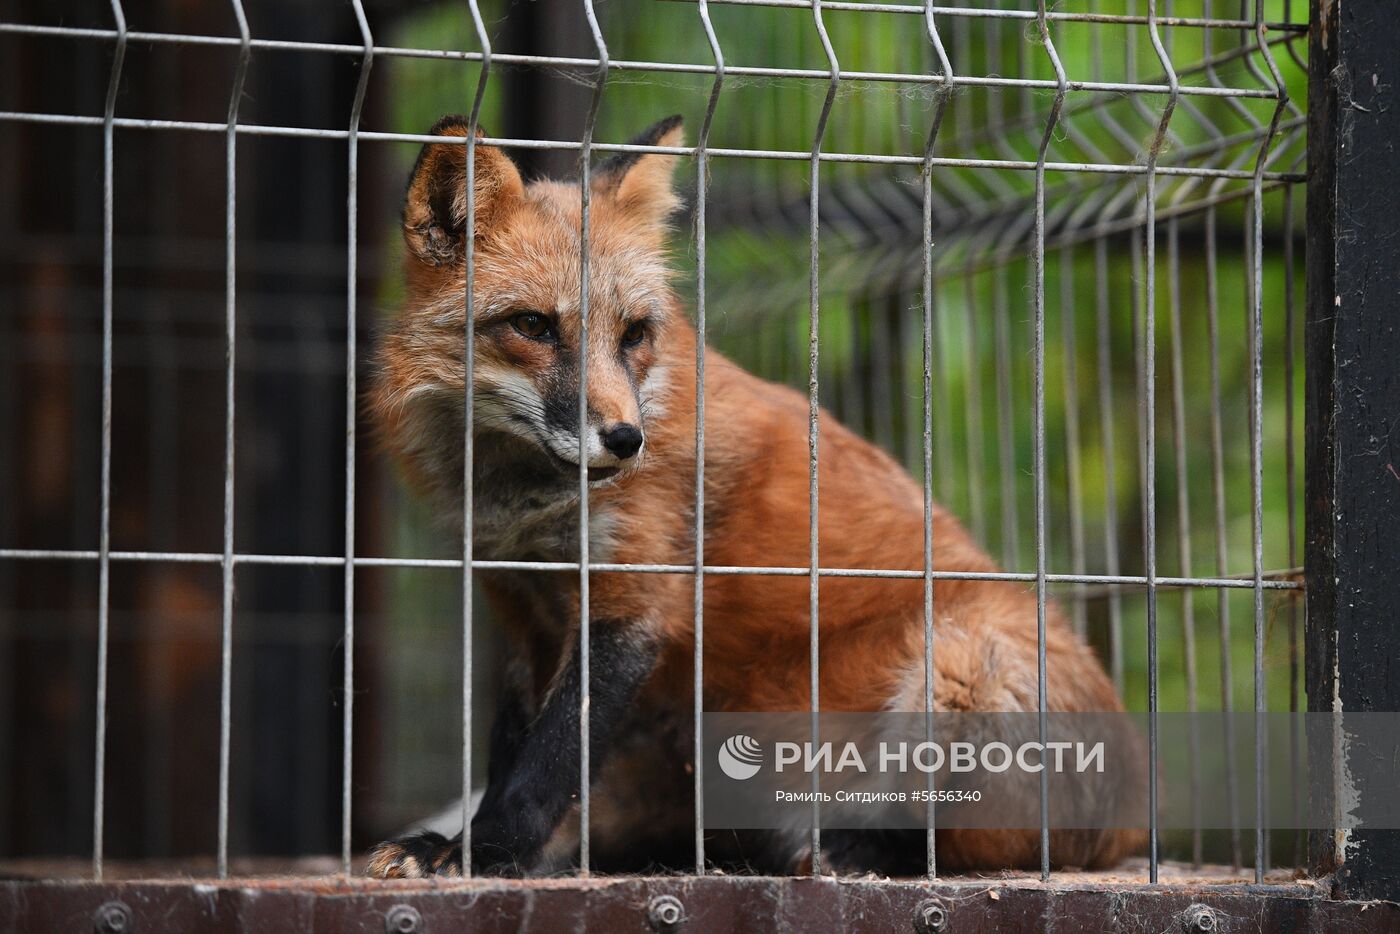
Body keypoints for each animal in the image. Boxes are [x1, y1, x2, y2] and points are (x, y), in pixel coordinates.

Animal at [364, 114, 1136, 879]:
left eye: (633, 334)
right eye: (533, 326)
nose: (626, 439)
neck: (527, 506)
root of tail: (1129, 823)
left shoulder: (632, 601)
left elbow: (549, 760)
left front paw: (487, 852)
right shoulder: (525, 613)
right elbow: (511, 748)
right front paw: (470, 846)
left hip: (960, 664)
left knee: (957, 841)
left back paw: (848, 848)